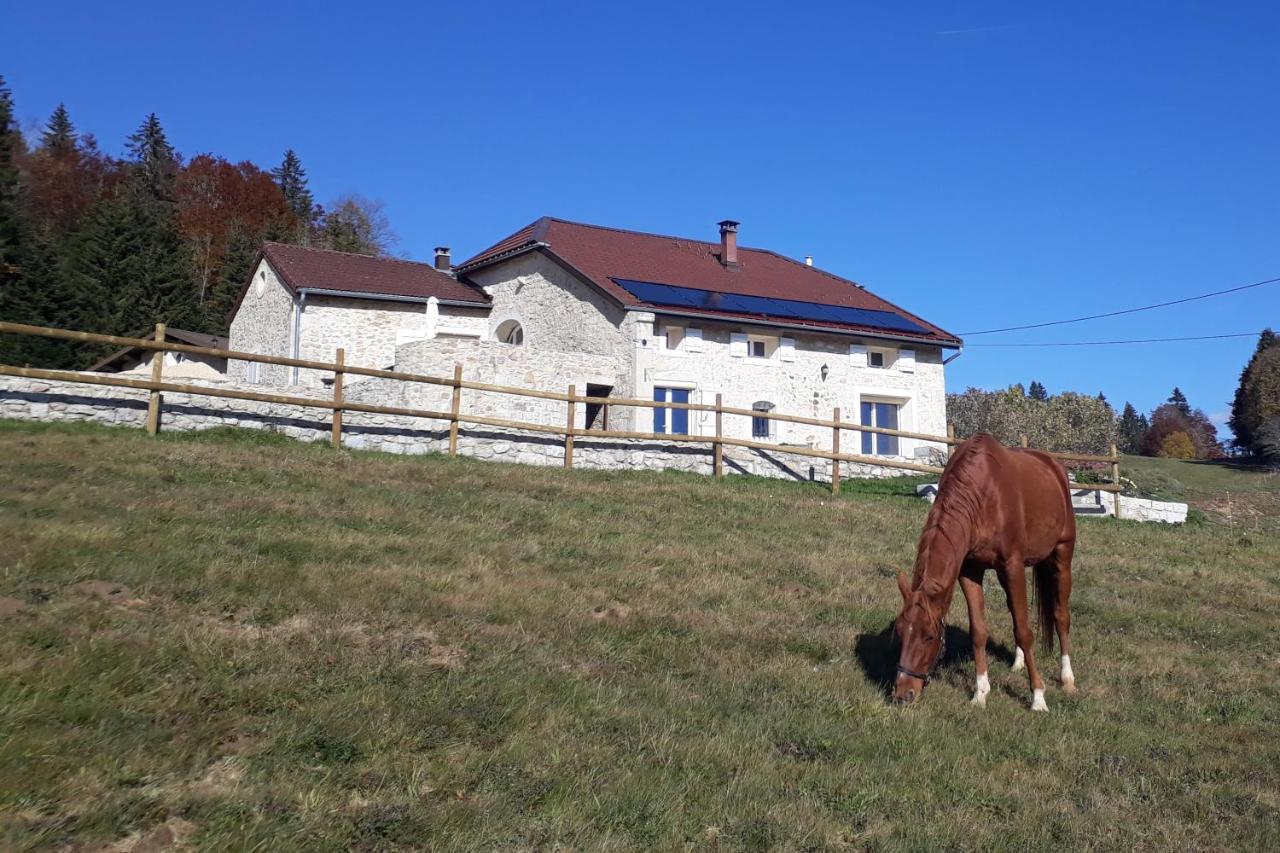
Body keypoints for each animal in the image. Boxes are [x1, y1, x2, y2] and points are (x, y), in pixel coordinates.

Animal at [890, 427, 1080, 706]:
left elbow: (1025, 631)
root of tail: (1054, 466)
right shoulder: (970, 571)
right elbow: (979, 630)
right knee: (1015, 611)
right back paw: (1018, 662)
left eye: (929, 636)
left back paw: (1067, 678)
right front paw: (980, 693)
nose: (904, 694)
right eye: (901, 633)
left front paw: (1037, 696)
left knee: (1060, 615)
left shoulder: (1012, 565)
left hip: (1062, 556)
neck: (983, 495)